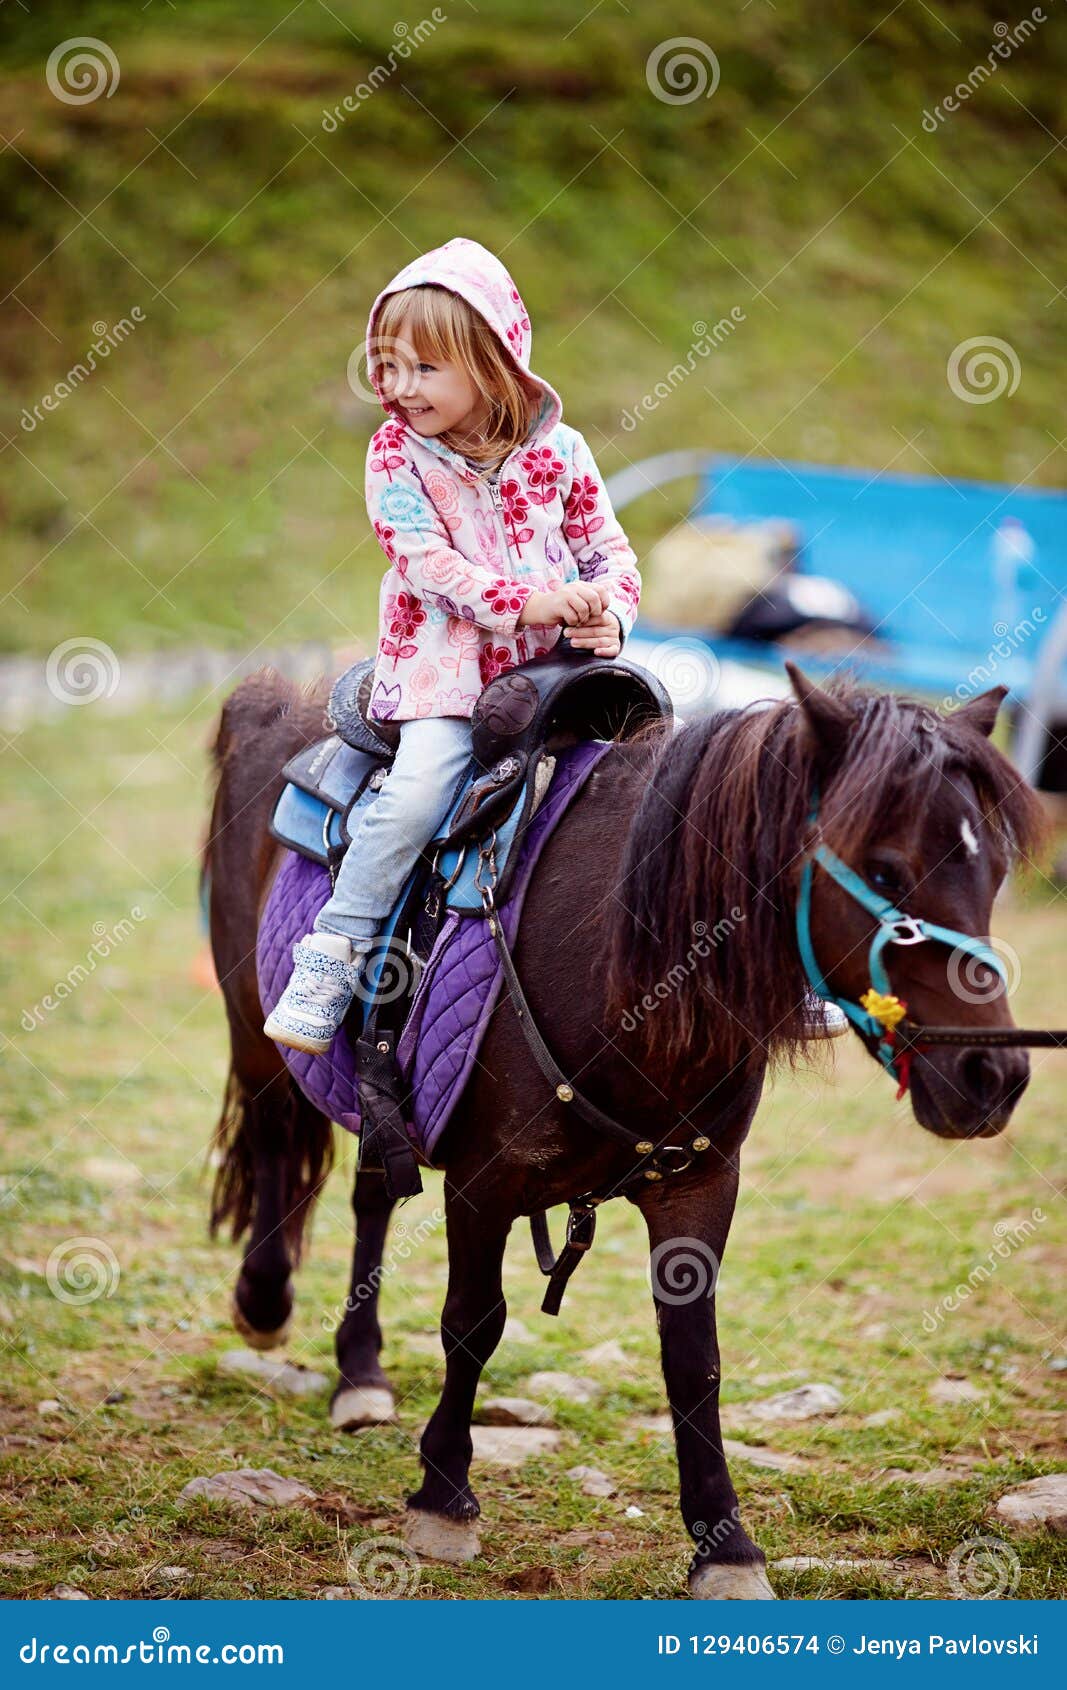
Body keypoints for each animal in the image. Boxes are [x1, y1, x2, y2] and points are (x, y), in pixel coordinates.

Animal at [202, 662, 1041, 1595]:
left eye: (994, 869)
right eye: (887, 871)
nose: (992, 1077)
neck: (626, 965)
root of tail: (276, 697)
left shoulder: (698, 1184)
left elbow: (692, 1358)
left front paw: (724, 1547)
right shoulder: (484, 1179)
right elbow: (473, 1322)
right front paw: (443, 1499)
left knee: (372, 1192)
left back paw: (359, 1370)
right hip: (254, 1029)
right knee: (274, 1139)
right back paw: (265, 1301)